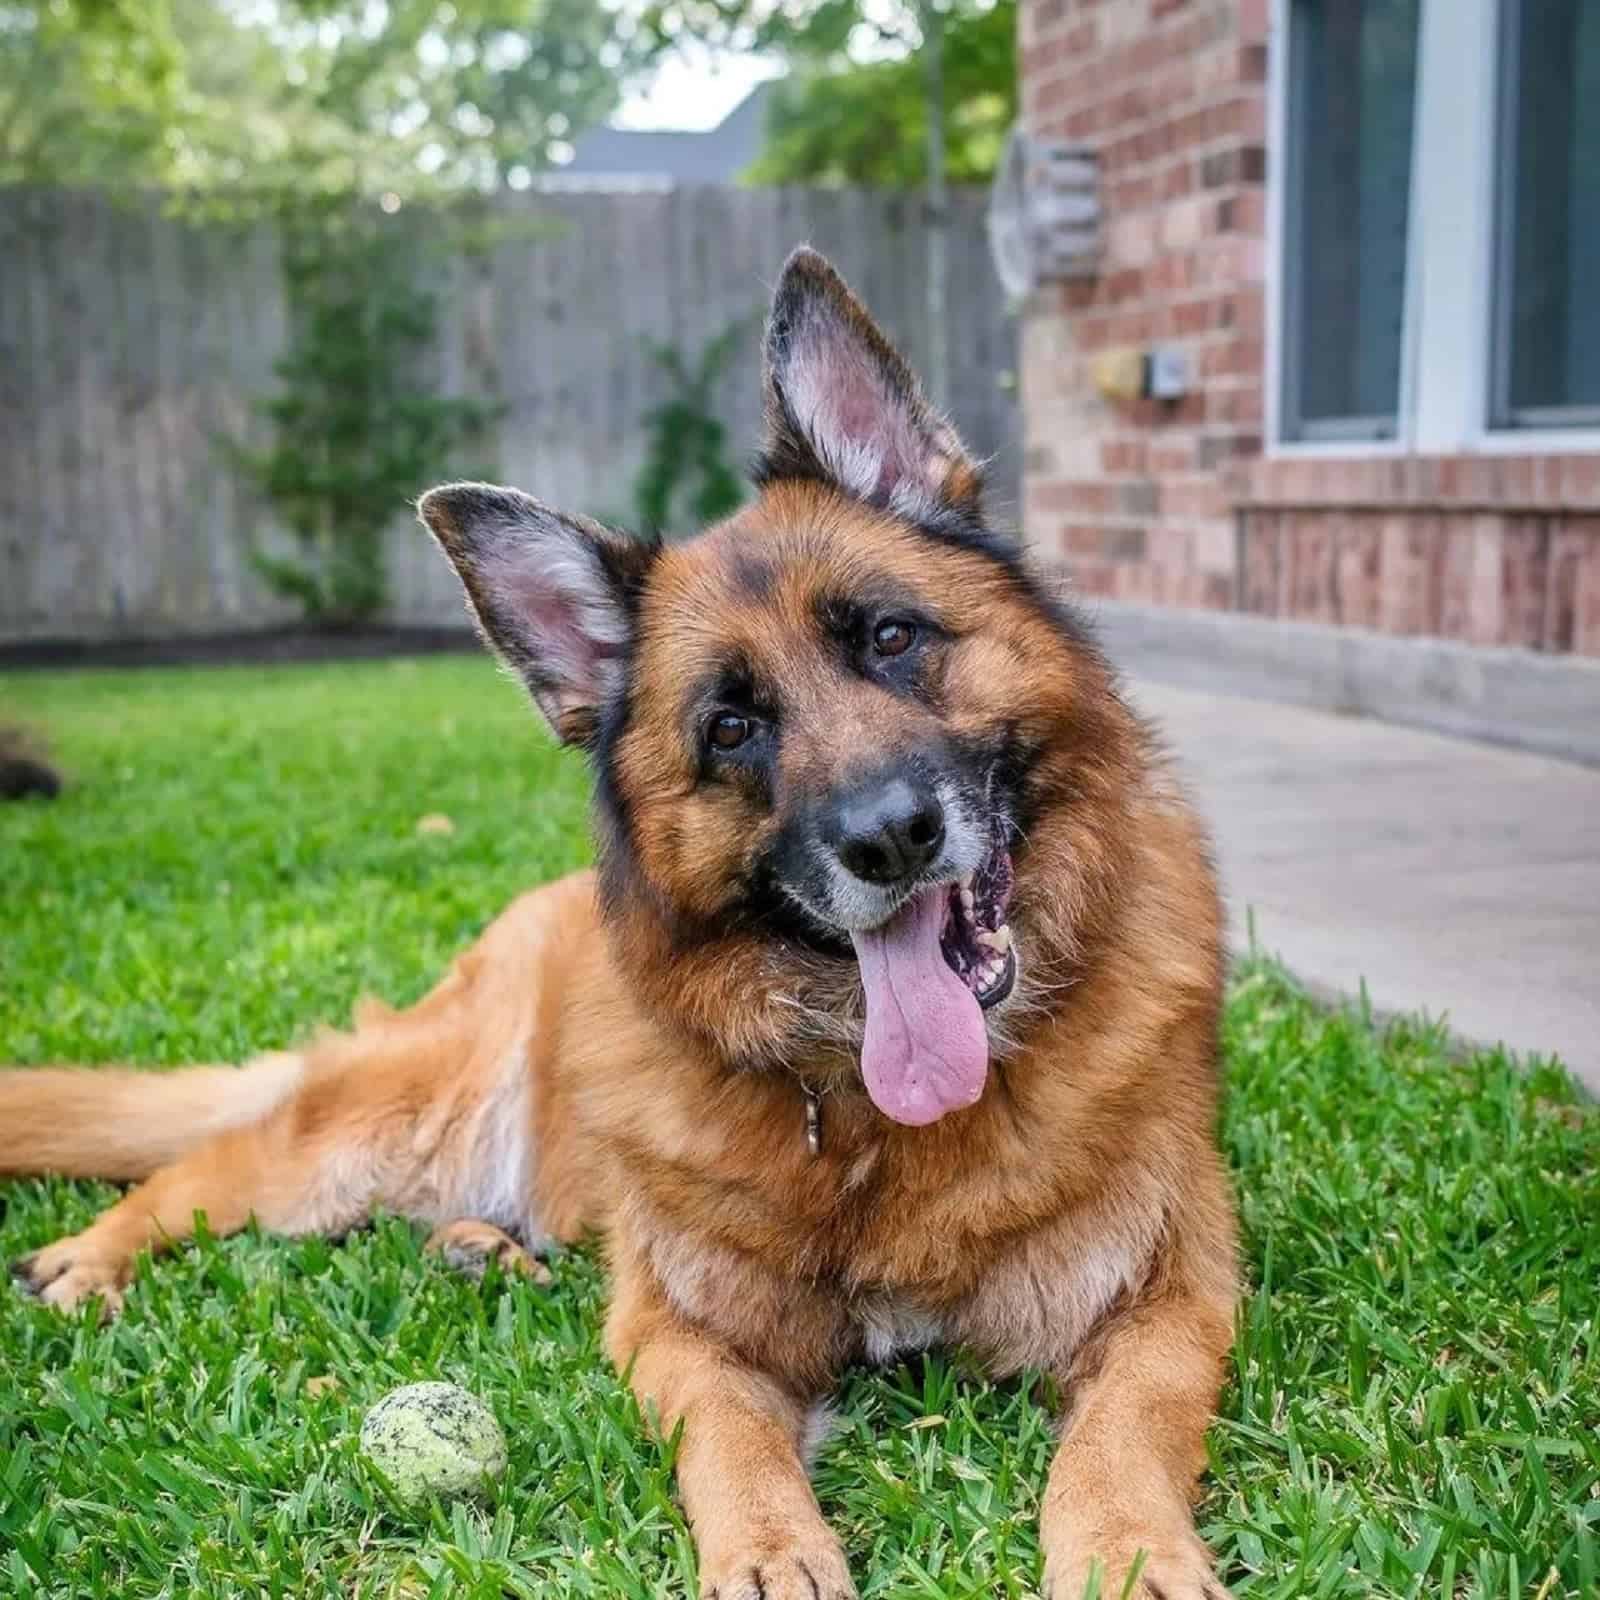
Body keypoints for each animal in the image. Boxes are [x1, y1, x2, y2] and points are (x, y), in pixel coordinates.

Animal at [3, 249, 1235, 1600]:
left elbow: (1122, 1431)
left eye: (891, 636)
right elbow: (733, 1436)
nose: (891, 839)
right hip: (390, 1125)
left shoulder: (1176, 1296)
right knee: (210, 1165)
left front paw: (1126, 1553)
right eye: (731, 728)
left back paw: (477, 1250)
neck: (871, 1122)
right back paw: (94, 1254)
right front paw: (772, 1550)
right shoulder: (679, 1329)